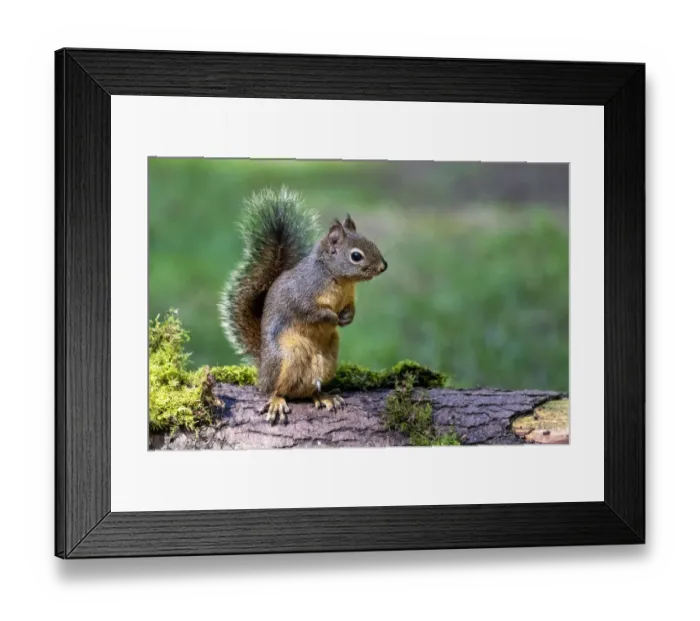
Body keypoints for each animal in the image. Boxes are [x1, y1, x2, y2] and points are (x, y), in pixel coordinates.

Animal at [219, 187, 388, 425]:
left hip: (326, 361)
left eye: (371, 242)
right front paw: (332, 317)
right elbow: (313, 312)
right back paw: (276, 401)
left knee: (309, 389)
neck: (337, 278)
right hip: (286, 357)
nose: (384, 266)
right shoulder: (302, 296)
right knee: (276, 389)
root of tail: (262, 372)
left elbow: (351, 308)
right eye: (356, 256)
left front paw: (347, 317)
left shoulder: (348, 298)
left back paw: (324, 396)